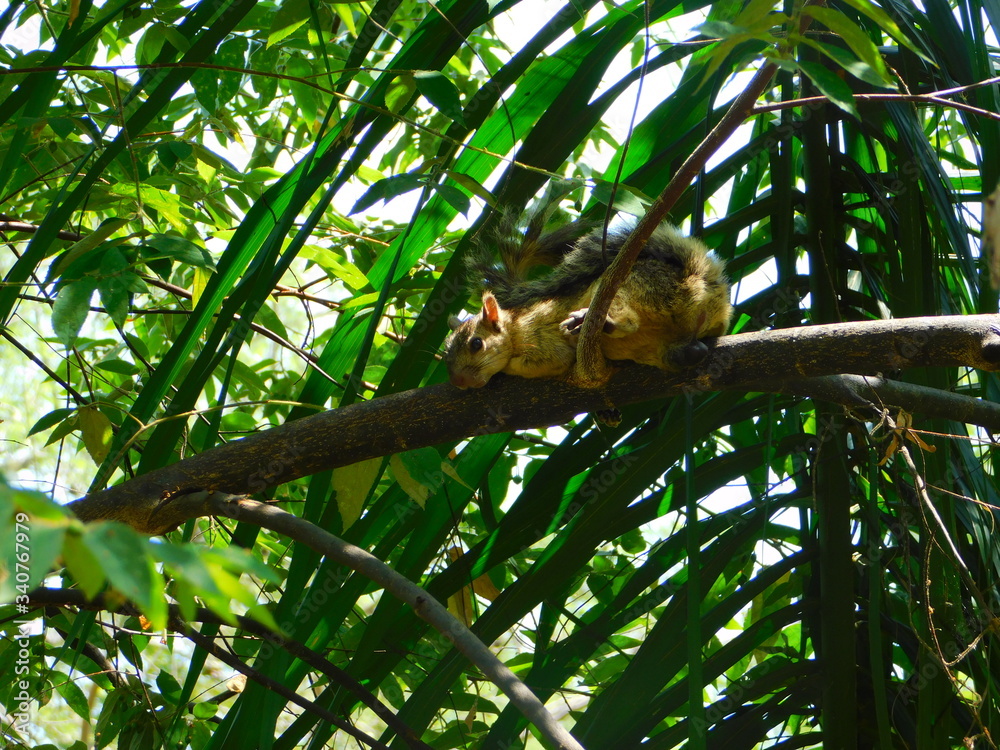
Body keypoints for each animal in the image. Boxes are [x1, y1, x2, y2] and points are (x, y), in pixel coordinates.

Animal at [443, 216, 732, 389]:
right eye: (445, 354)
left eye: (476, 344)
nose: (458, 380)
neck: (515, 327)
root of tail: (701, 281)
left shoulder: (539, 339)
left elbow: (548, 361)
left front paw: (507, 369)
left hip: (628, 288)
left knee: (628, 320)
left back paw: (597, 322)